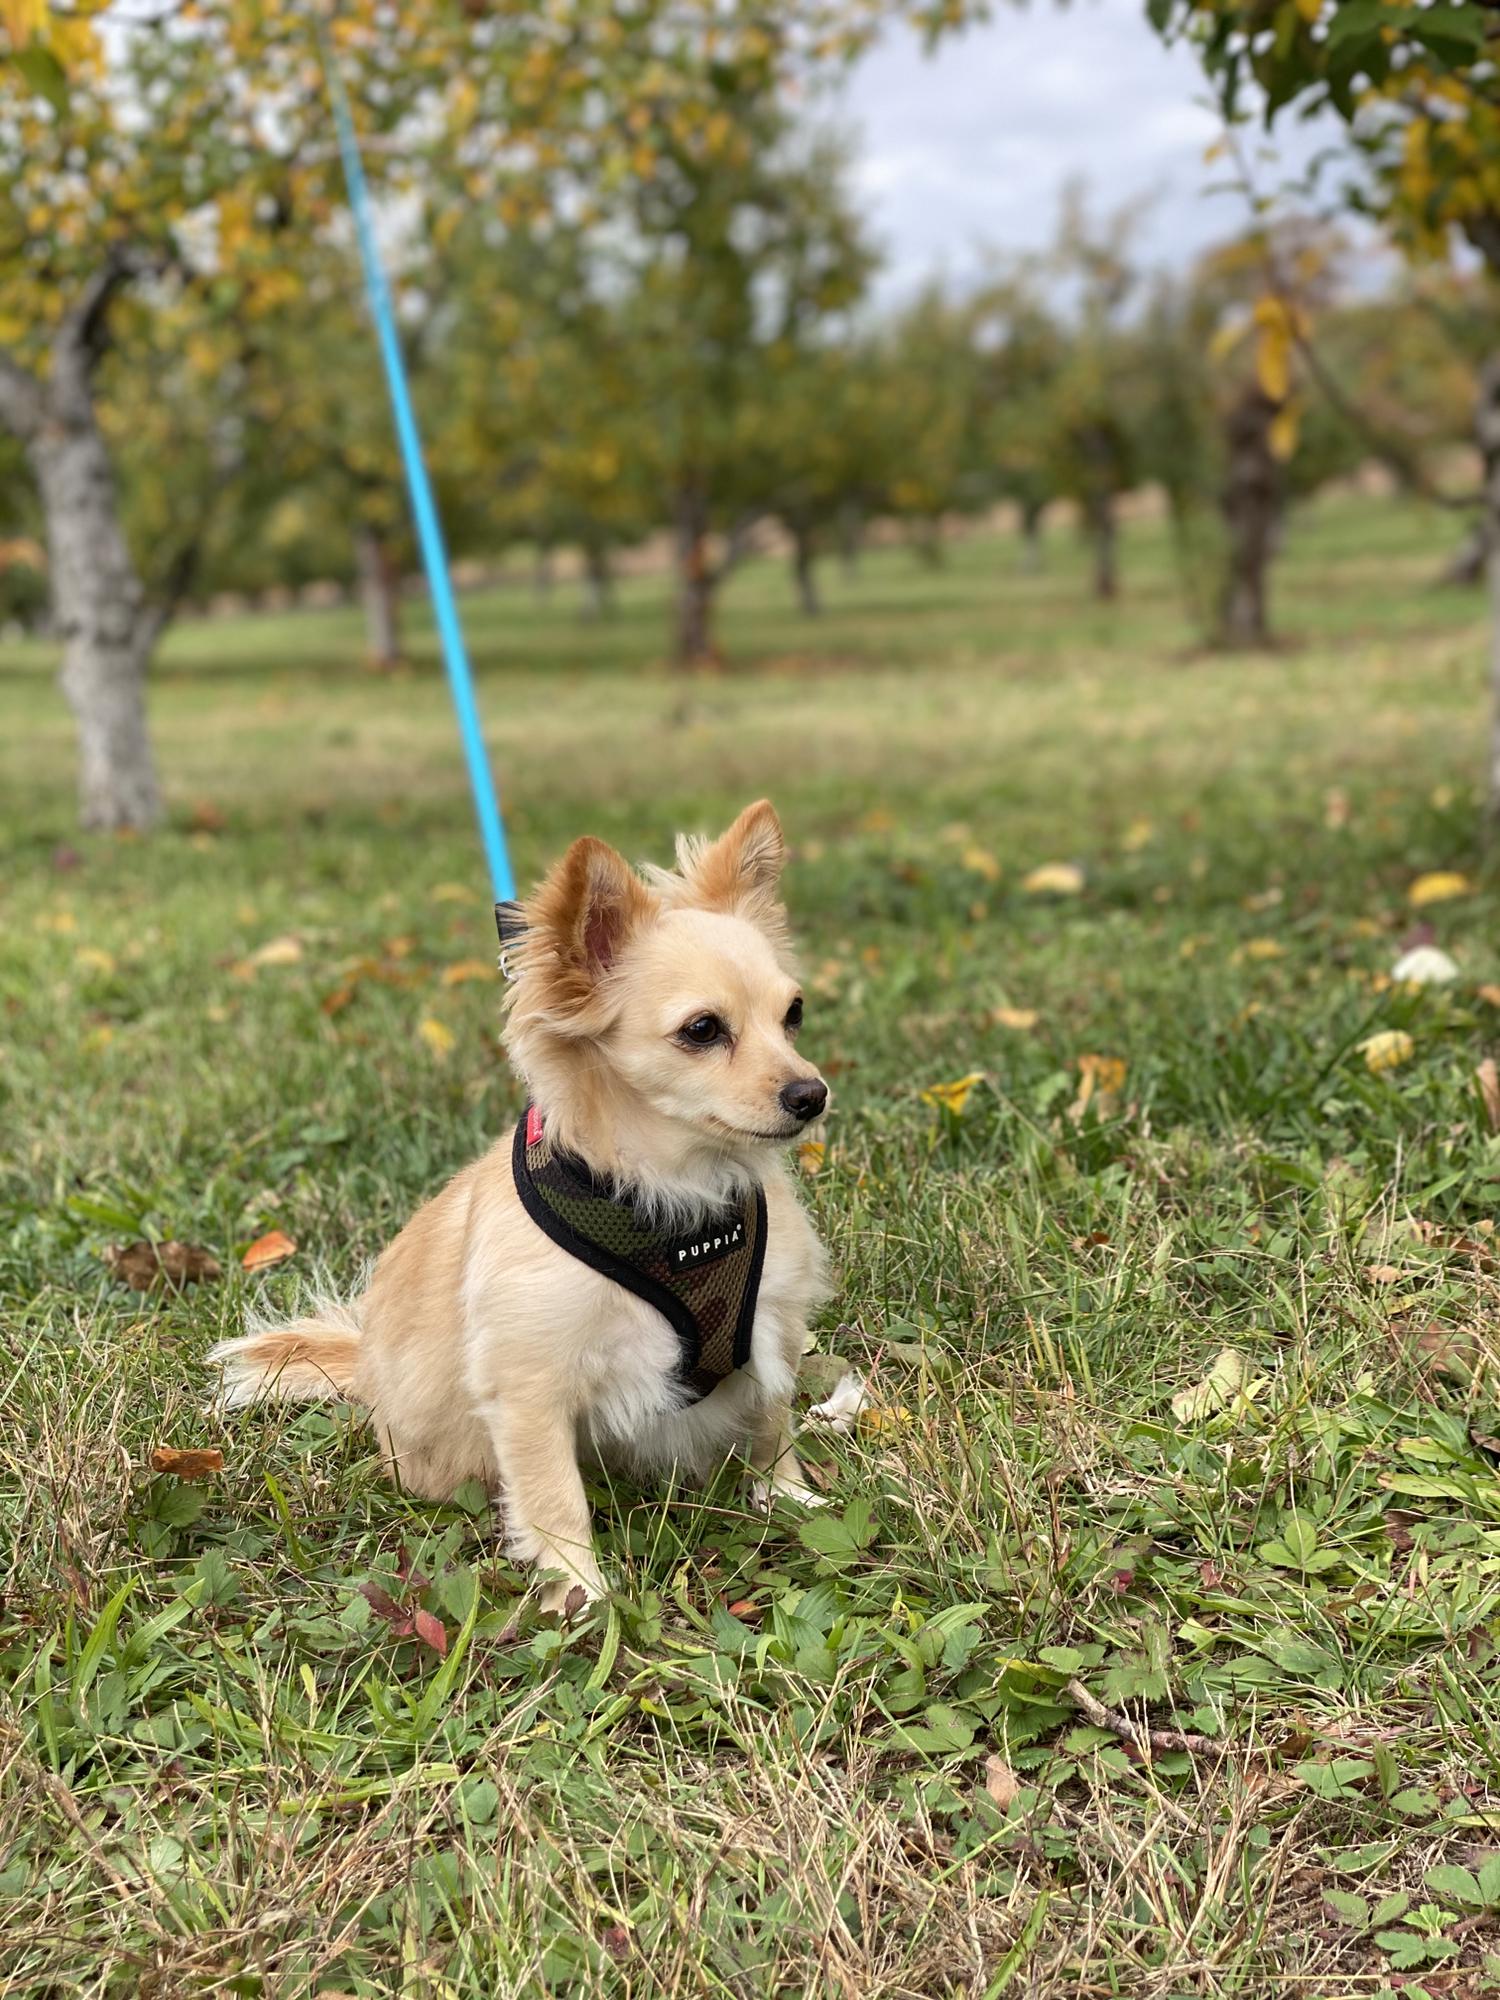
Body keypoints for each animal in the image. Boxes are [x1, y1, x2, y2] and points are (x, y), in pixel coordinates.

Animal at [212, 796, 836, 1608]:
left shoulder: (768, 1328)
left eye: (793, 1014)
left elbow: (770, 1420)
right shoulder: (530, 1386)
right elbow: (552, 1497)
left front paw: (789, 1497)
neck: (674, 1197)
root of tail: (369, 1370)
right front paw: (581, 1595)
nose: (811, 1094)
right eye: (703, 1030)